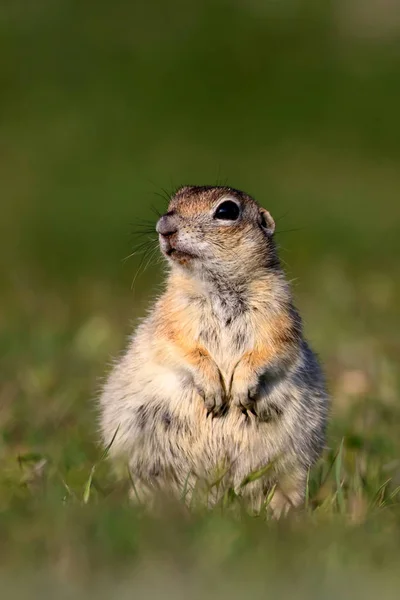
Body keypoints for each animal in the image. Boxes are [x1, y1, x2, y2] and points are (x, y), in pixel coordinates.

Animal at [99, 184, 328, 516]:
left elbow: (271, 350)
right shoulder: (170, 319)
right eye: (172, 203)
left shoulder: (280, 318)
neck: (218, 287)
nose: (164, 227)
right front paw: (214, 391)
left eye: (227, 211)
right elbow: (178, 348)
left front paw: (240, 390)